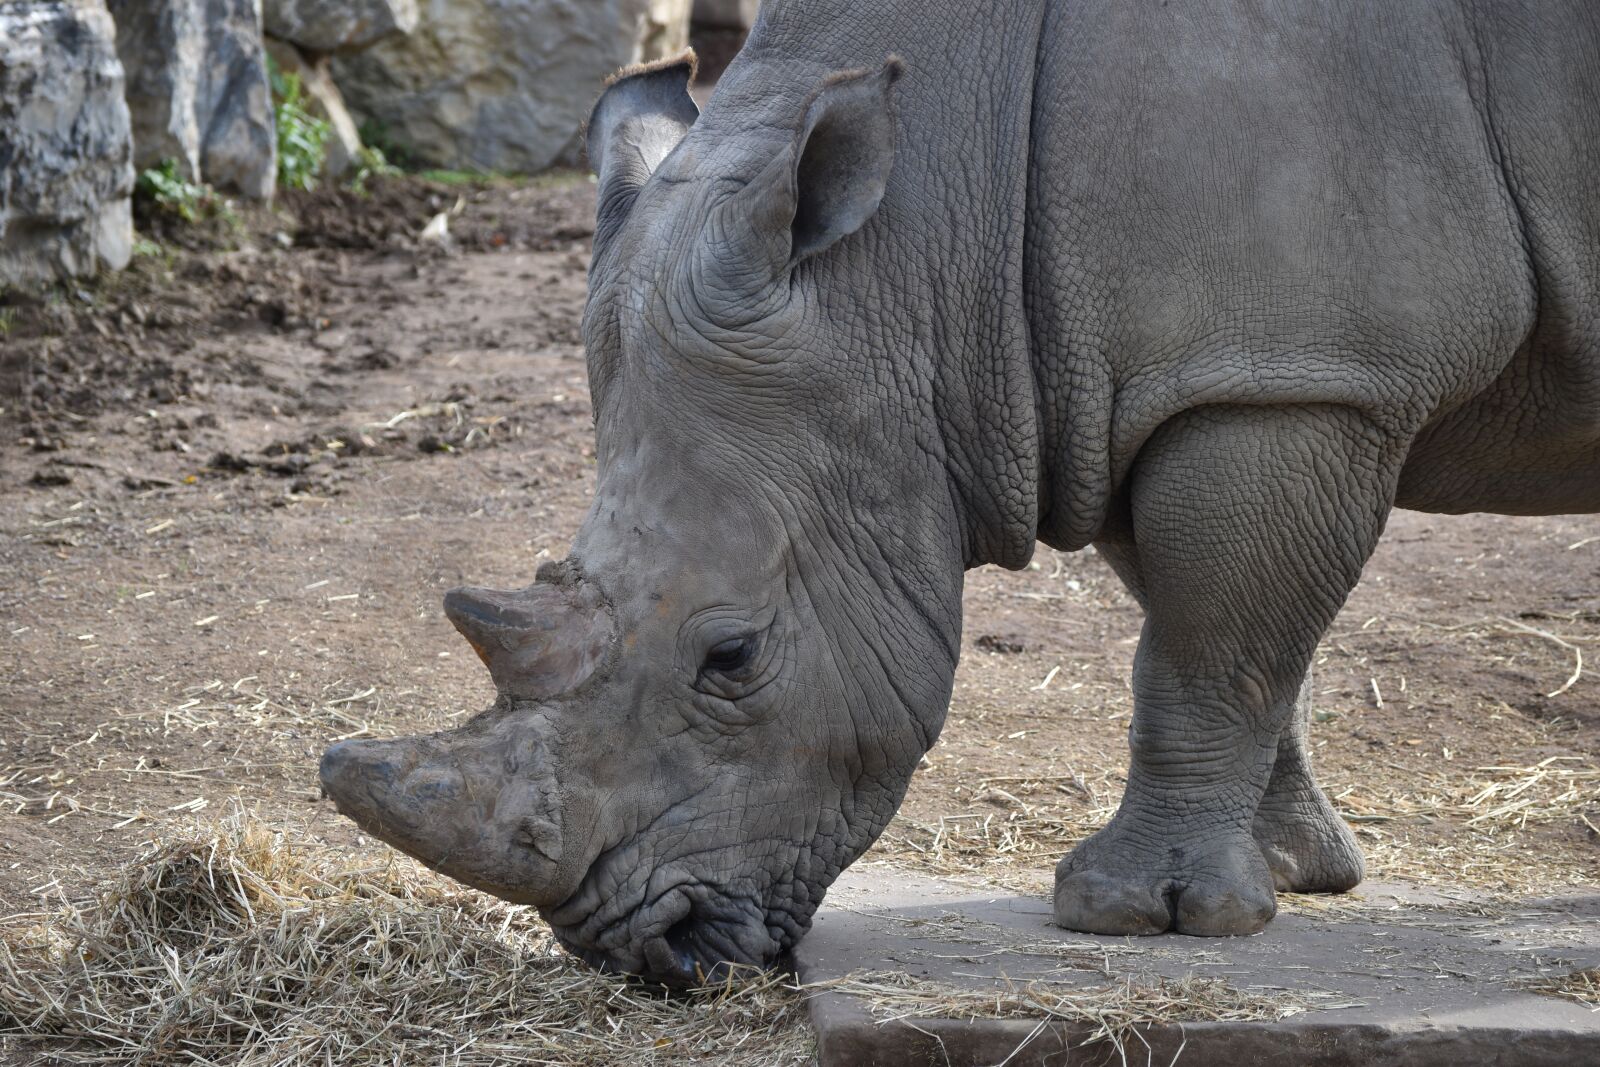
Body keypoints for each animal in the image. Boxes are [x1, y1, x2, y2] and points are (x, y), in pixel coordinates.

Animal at [320, 0, 1600, 984]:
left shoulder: (1289, 373)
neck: (920, 242)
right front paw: (1291, 869)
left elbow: (1208, 643)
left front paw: (1145, 915)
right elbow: (1216, 626)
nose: (649, 952)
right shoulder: (1158, 380)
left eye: (732, 656)